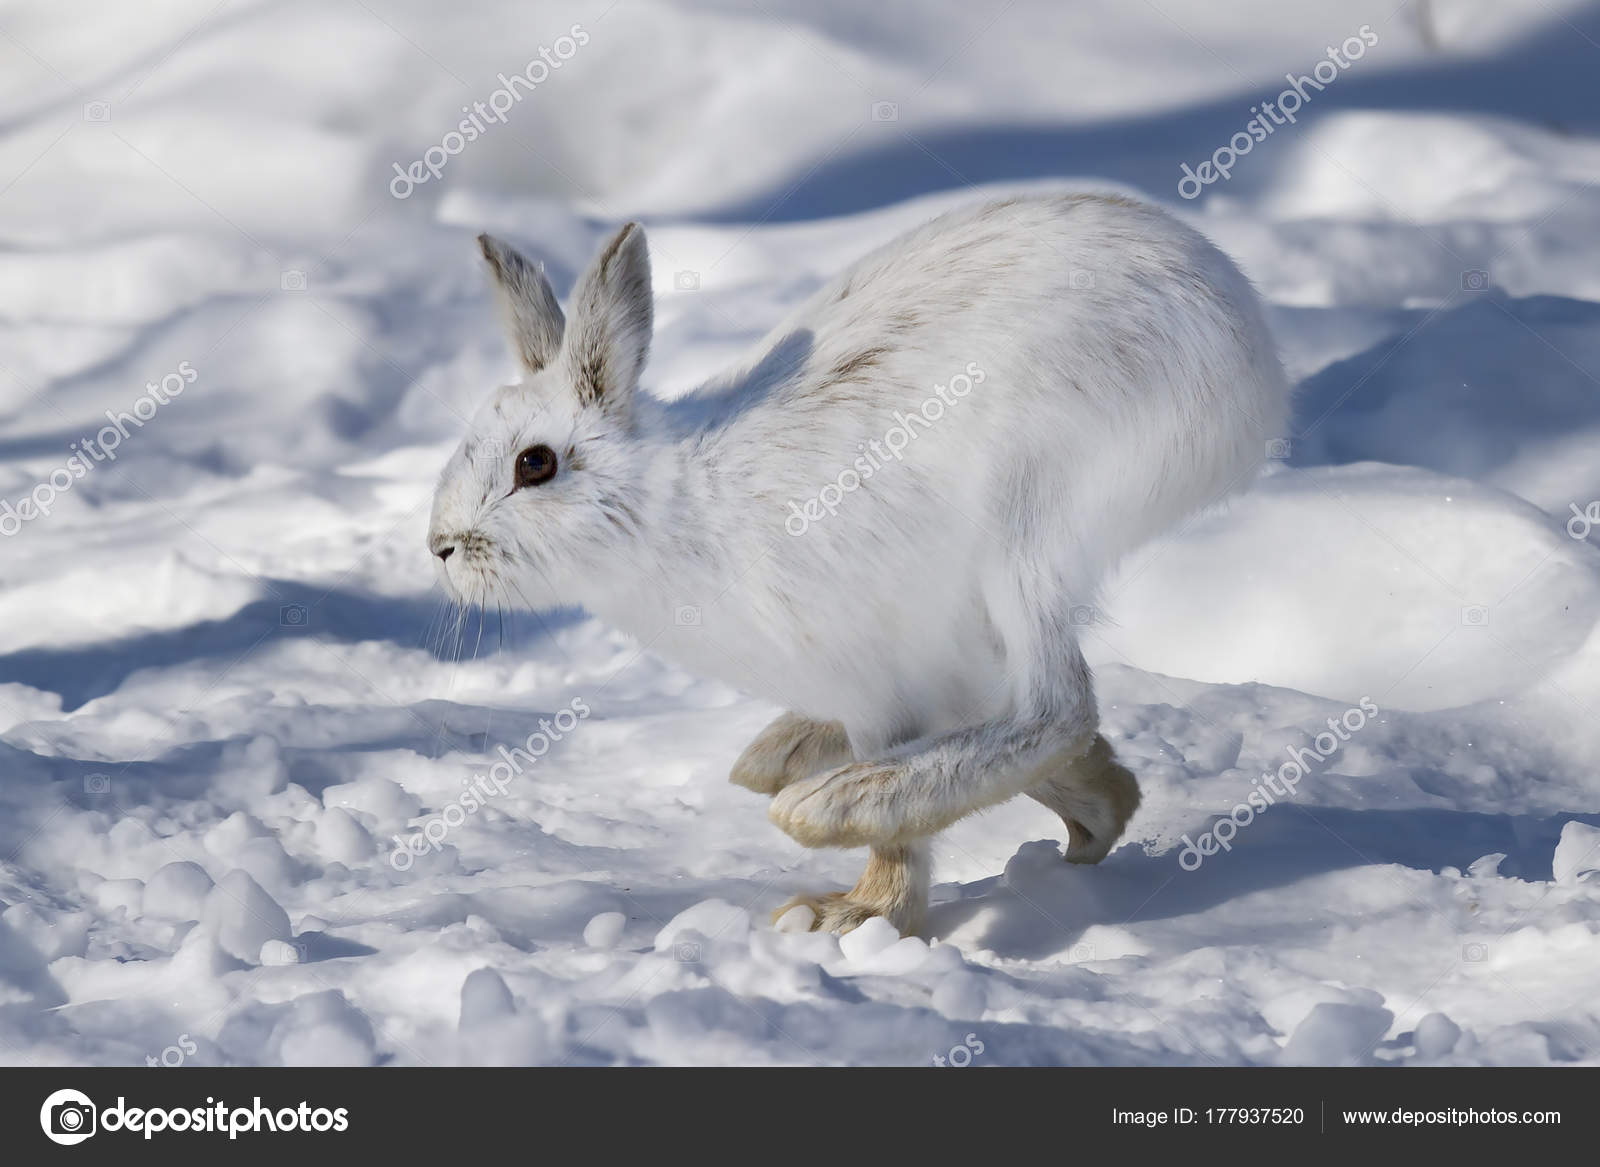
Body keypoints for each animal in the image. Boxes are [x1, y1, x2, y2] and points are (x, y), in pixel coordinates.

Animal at [428, 192, 1289, 936]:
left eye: (535, 464)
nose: (440, 546)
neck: (670, 503)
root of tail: (1245, 341)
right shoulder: (922, 677)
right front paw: (1106, 803)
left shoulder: (877, 671)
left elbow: (915, 824)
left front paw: (852, 916)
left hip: (1029, 516)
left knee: (1056, 706)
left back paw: (826, 801)